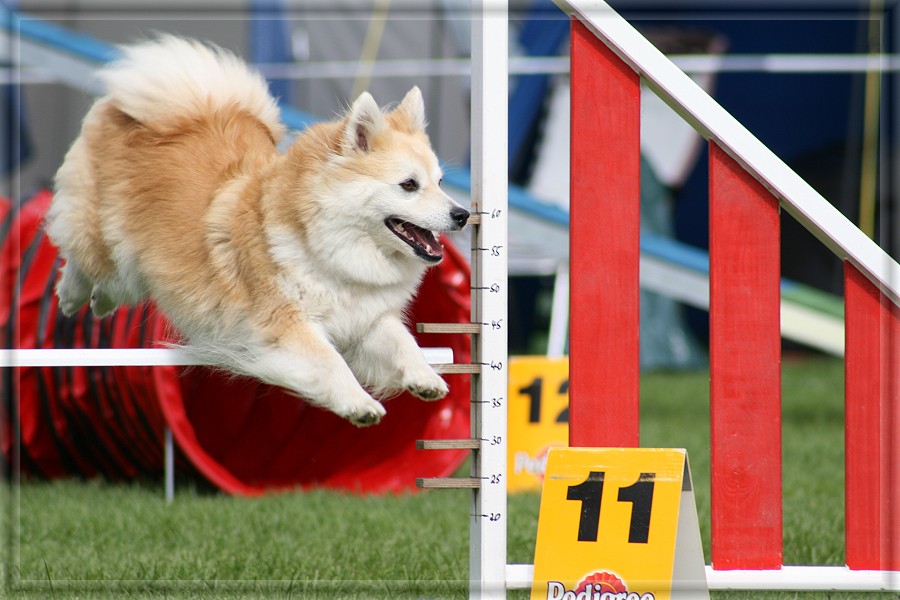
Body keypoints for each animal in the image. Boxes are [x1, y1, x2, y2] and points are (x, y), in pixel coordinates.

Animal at [47, 36, 472, 426]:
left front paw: (425, 377)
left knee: (112, 283)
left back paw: (98, 303)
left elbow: (404, 343)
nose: (463, 214)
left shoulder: (367, 323)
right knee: (81, 255)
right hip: (108, 243)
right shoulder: (286, 326)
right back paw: (70, 296)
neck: (332, 251)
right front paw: (358, 403)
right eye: (409, 185)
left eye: (439, 182)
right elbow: (330, 362)